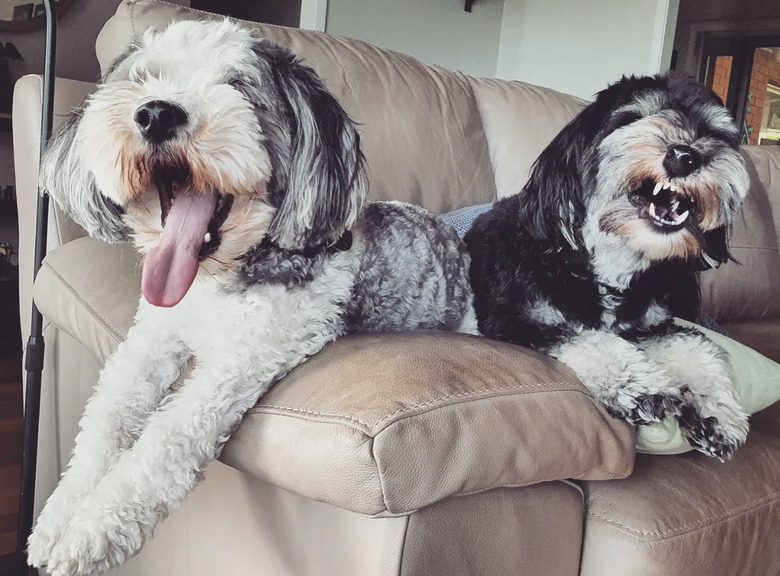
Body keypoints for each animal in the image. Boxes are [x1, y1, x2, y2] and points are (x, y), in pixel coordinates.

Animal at [29, 18, 476, 576]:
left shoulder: (241, 361)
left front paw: (91, 532)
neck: (214, 280)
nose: (156, 113)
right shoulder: (150, 341)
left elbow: (166, 436)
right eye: (145, 78)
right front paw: (57, 519)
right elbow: (105, 419)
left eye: (239, 86)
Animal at [466, 75, 752, 464]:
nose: (685, 156)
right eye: (631, 117)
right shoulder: (517, 319)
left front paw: (718, 413)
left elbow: (694, 345)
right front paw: (642, 387)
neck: (606, 263)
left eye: (714, 132)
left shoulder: (651, 326)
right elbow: (594, 341)